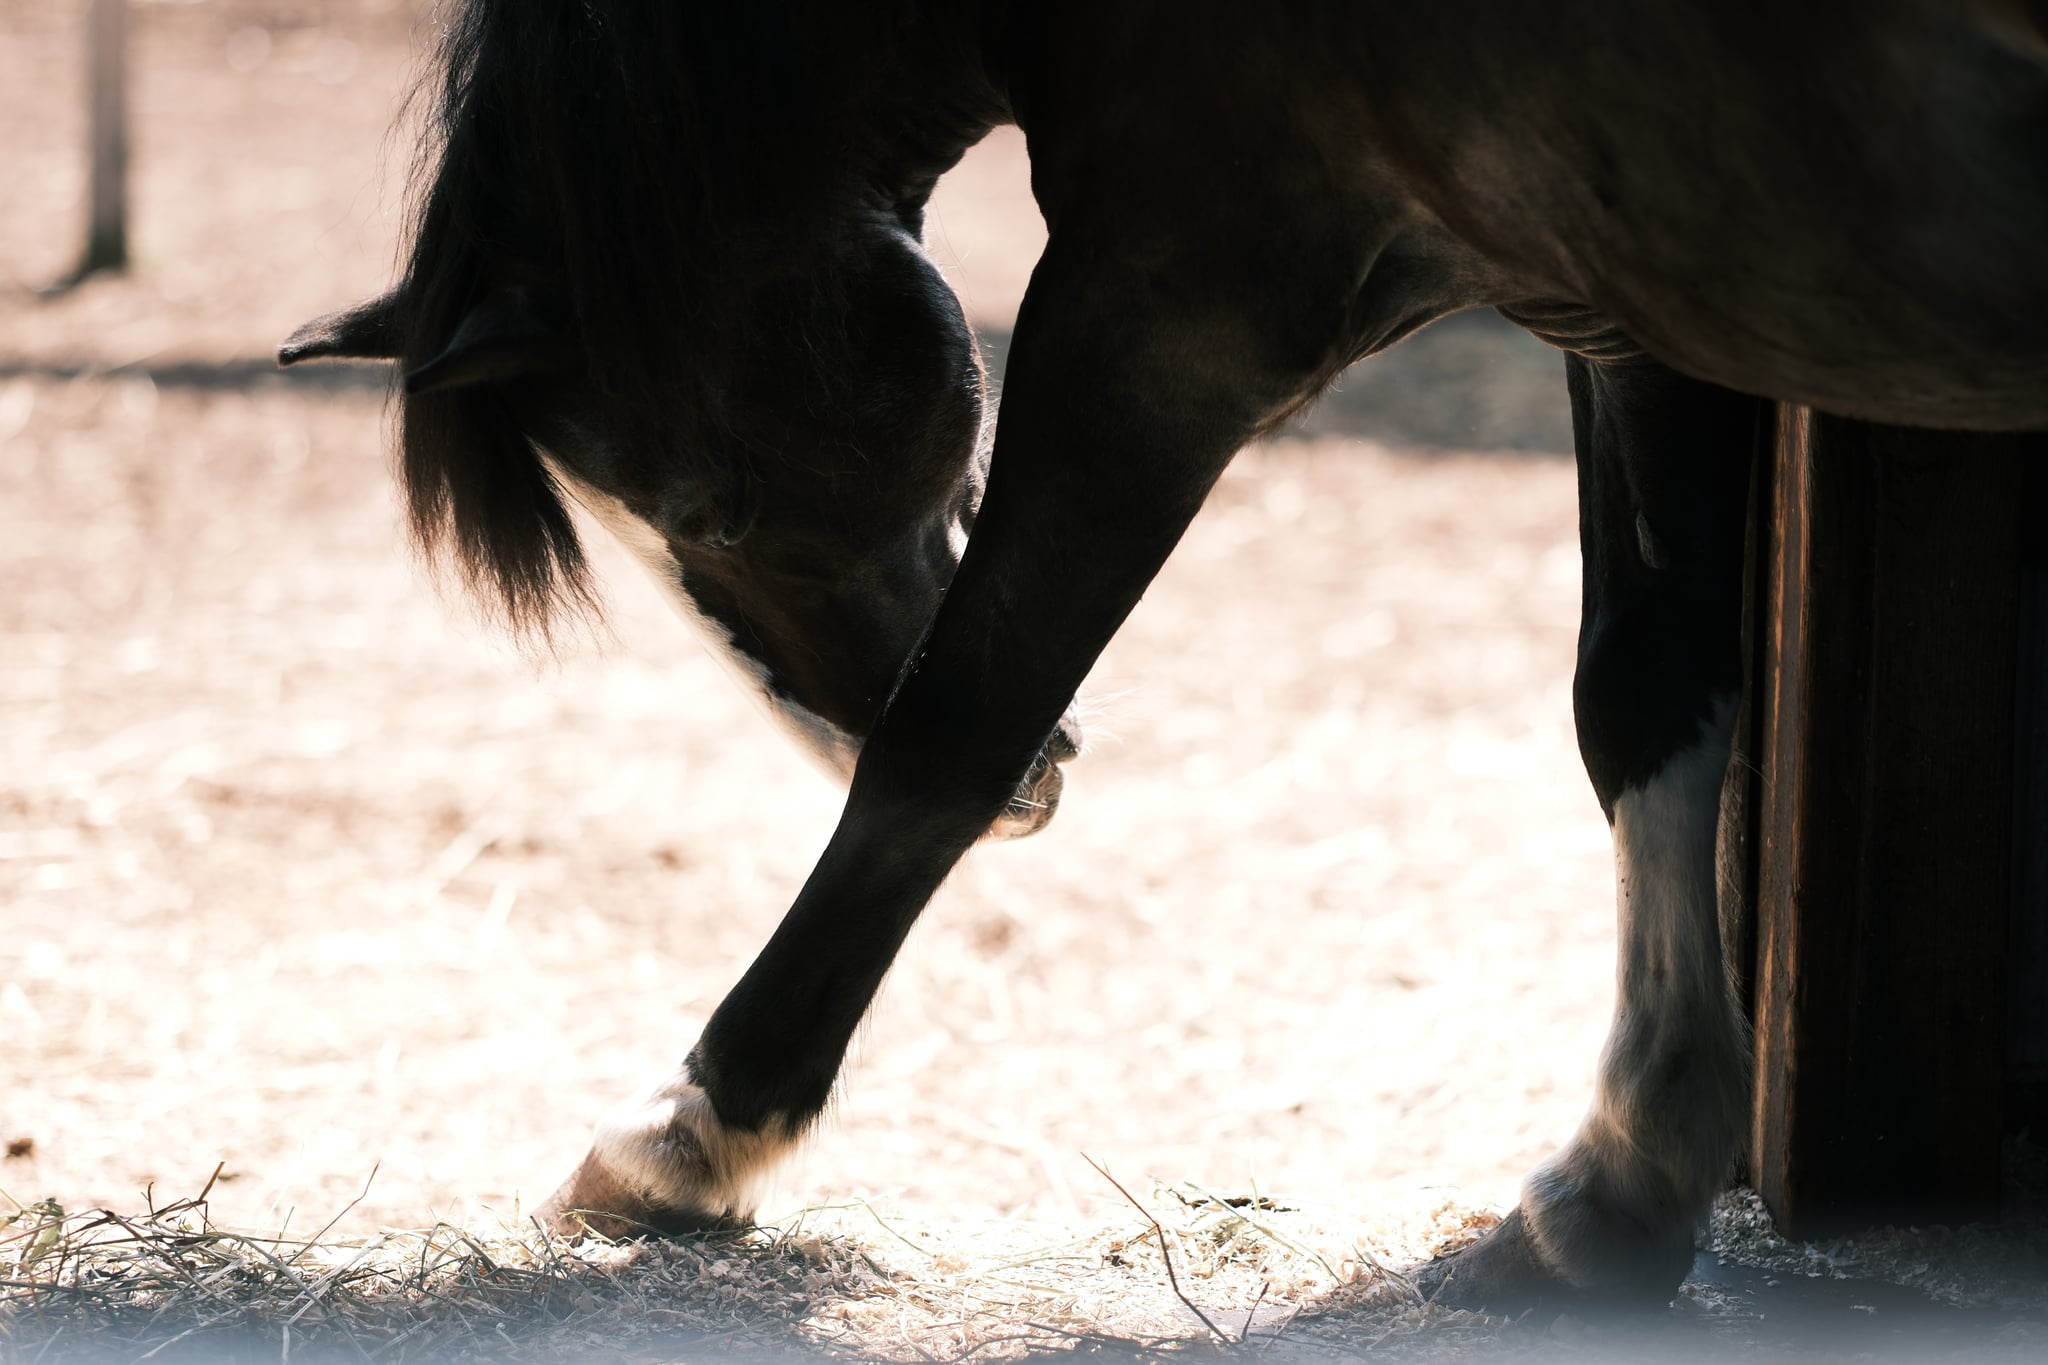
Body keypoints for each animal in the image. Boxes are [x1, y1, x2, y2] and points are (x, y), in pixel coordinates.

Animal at [284, 2, 2048, 1309]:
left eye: (711, 505)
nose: (1041, 800)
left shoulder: (1172, 298)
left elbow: (956, 724)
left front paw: (690, 1135)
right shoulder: (1642, 294)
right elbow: (1645, 692)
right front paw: (1619, 1181)